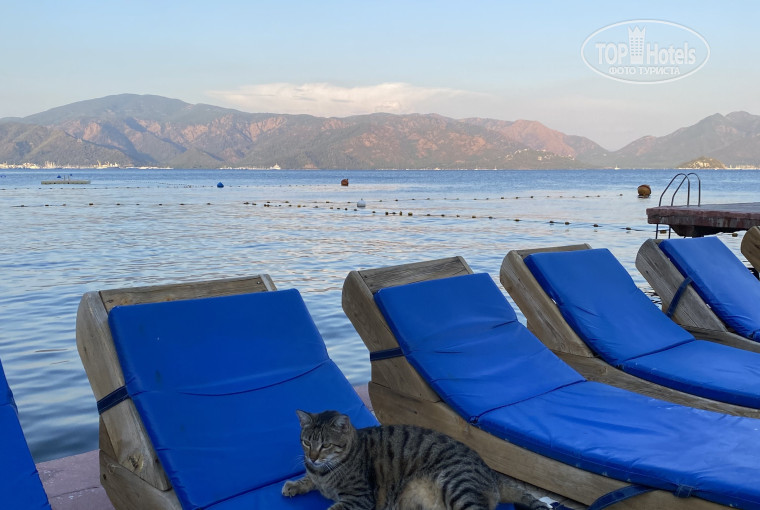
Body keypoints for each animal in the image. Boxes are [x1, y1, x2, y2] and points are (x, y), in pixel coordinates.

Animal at [282, 409, 550, 510]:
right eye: (306, 442)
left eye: (325, 445)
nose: (312, 456)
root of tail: (490, 471)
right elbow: (305, 479)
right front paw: (294, 484)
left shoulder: (359, 498)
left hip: (456, 485)